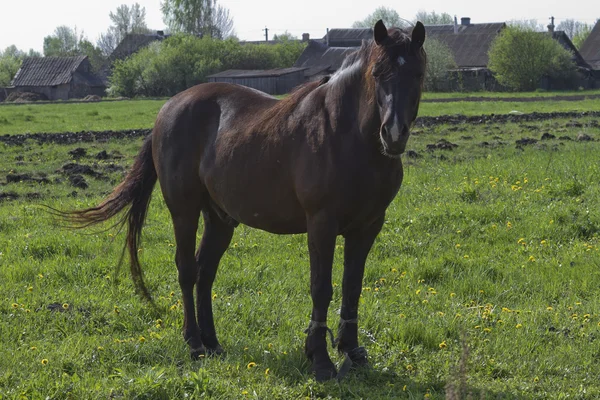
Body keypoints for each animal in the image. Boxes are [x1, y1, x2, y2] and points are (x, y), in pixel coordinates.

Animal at [62, 19, 426, 382]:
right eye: (377, 73)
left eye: (418, 73)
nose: (393, 134)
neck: (346, 134)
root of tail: (168, 109)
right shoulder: (321, 224)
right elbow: (321, 287)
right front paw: (320, 359)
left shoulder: (367, 226)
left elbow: (353, 286)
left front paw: (352, 351)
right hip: (184, 211)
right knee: (187, 270)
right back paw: (194, 342)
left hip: (220, 218)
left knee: (205, 272)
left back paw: (212, 341)